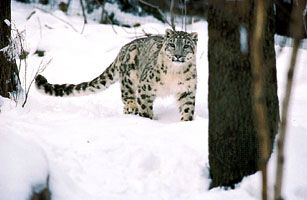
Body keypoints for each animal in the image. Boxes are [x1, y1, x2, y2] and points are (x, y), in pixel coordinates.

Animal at [35, 28, 200, 121]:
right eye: (172, 44)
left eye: (186, 46)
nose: (178, 55)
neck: (175, 73)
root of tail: (123, 49)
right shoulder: (145, 87)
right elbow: (145, 107)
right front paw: (148, 120)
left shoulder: (187, 90)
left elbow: (187, 108)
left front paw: (186, 123)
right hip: (129, 78)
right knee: (127, 97)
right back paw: (132, 108)